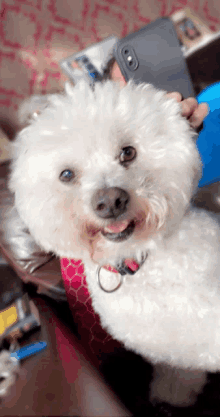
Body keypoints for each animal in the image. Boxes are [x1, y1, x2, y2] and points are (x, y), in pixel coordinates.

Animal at [9, 81, 220, 406]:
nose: (110, 202)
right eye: (66, 174)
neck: (137, 263)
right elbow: (179, 372)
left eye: (128, 153)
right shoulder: (178, 351)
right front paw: (171, 394)